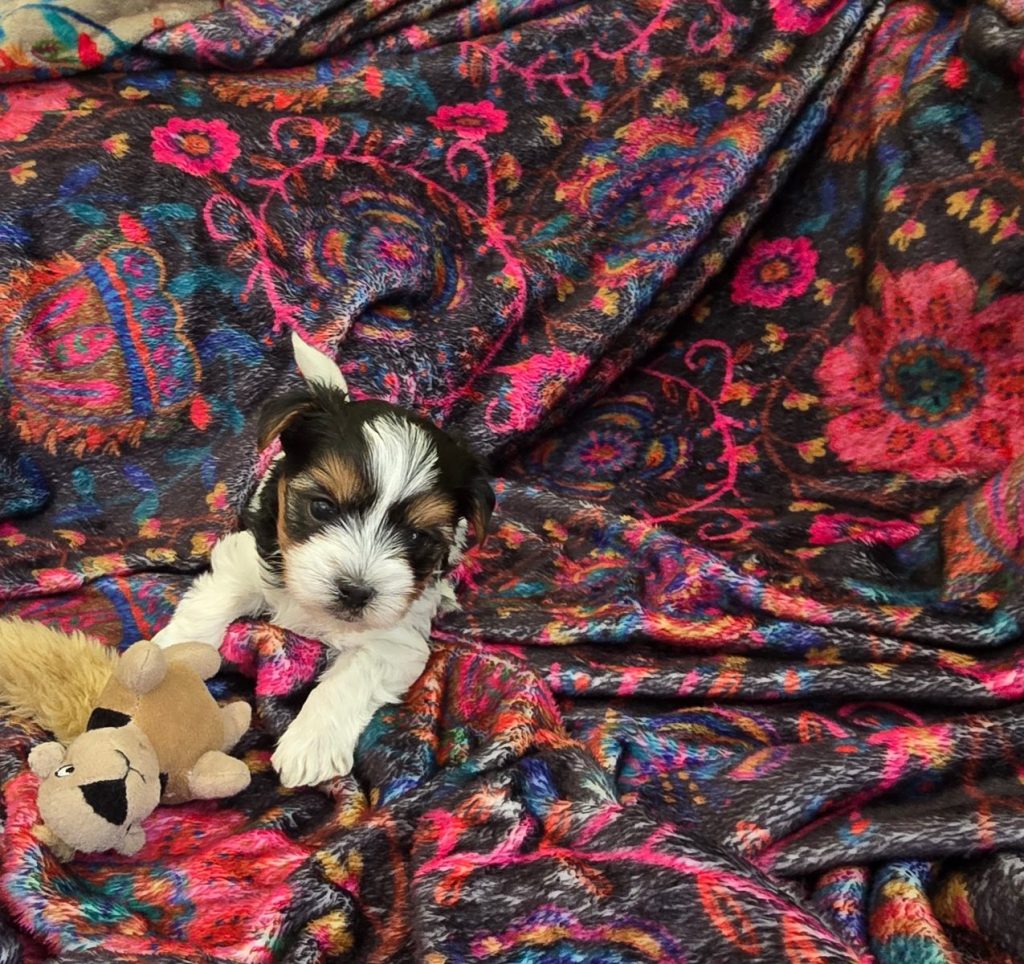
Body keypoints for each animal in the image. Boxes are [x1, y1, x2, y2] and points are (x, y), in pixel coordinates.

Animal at [153, 333, 494, 787]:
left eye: (417, 536)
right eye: (322, 507)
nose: (356, 591)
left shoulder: (396, 637)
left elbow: (353, 674)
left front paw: (311, 744)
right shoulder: (248, 556)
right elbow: (213, 600)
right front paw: (174, 655)